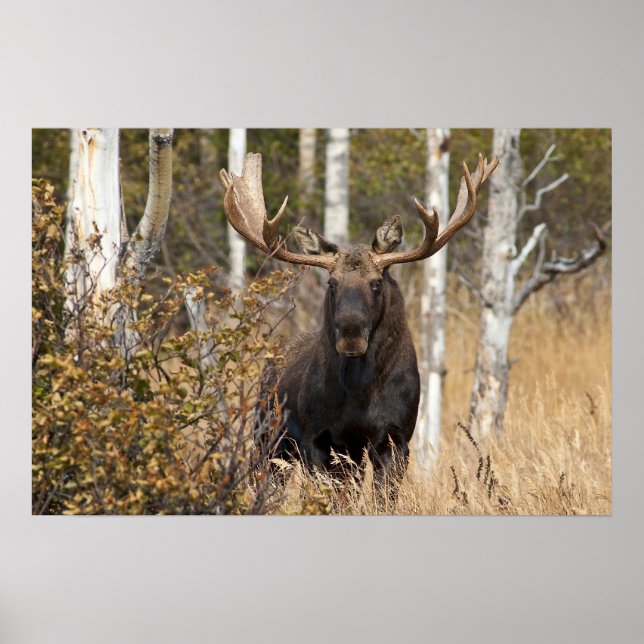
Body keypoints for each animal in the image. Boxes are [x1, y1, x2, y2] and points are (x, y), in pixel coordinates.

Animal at [219, 152, 498, 496]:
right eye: (332, 283)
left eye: (376, 283)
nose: (351, 335)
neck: (360, 395)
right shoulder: (320, 440)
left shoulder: (396, 437)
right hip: (267, 437)